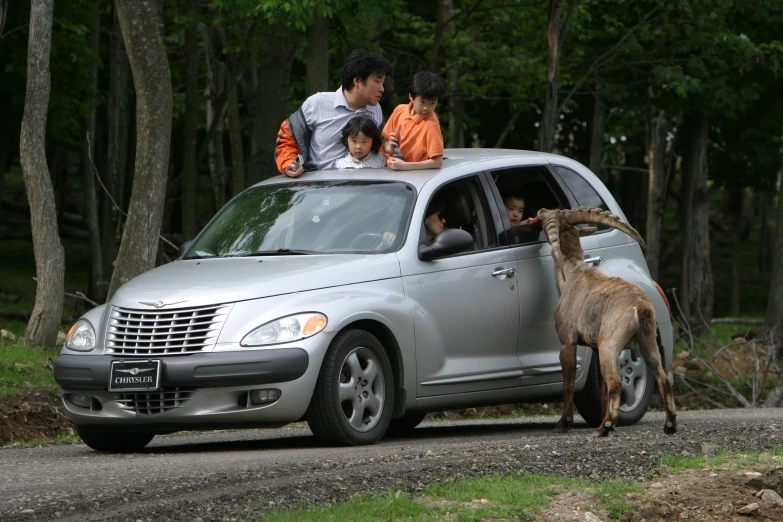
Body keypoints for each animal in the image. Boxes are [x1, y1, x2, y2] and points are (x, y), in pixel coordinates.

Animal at [540, 205, 680, 436]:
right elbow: (601, 387)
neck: (572, 275)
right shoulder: (595, 348)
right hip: (648, 343)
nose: (540, 210)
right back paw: (669, 425)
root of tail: (640, 307)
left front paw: (563, 423)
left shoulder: (568, 340)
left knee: (616, 383)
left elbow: (568, 382)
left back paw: (603, 428)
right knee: (663, 379)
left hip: (610, 343)